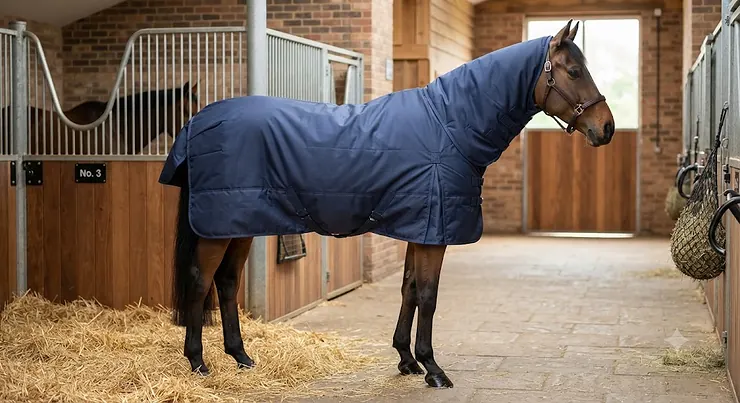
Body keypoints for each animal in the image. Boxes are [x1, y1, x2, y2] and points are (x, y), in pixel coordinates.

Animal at [159, 20, 615, 388]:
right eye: (574, 71)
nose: (606, 128)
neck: (448, 127)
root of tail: (199, 122)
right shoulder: (434, 232)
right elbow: (428, 295)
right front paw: (433, 369)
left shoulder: (422, 227)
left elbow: (408, 288)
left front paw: (406, 360)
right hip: (221, 227)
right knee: (200, 281)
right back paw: (198, 363)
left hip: (239, 224)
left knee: (226, 282)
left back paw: (241, 357)